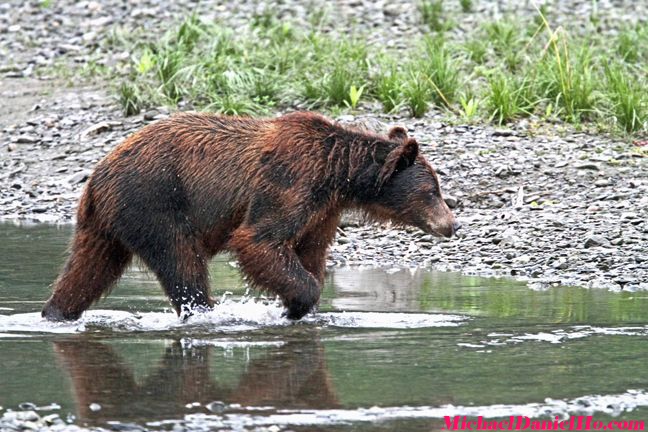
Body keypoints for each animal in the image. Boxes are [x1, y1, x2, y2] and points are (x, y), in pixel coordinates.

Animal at [41, 111, 456, 320]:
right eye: (432, 190)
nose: (452, 225)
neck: (337, 174)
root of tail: (97, 176)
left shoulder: (322, 210)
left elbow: (310, 251)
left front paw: (302, 304)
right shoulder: (290, 181)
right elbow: (259, 239)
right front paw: (298, 302)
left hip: (106, 223)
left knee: (88, 267)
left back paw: (57, 311)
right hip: (155, 201)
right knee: (181, 261)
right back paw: (204, 310)